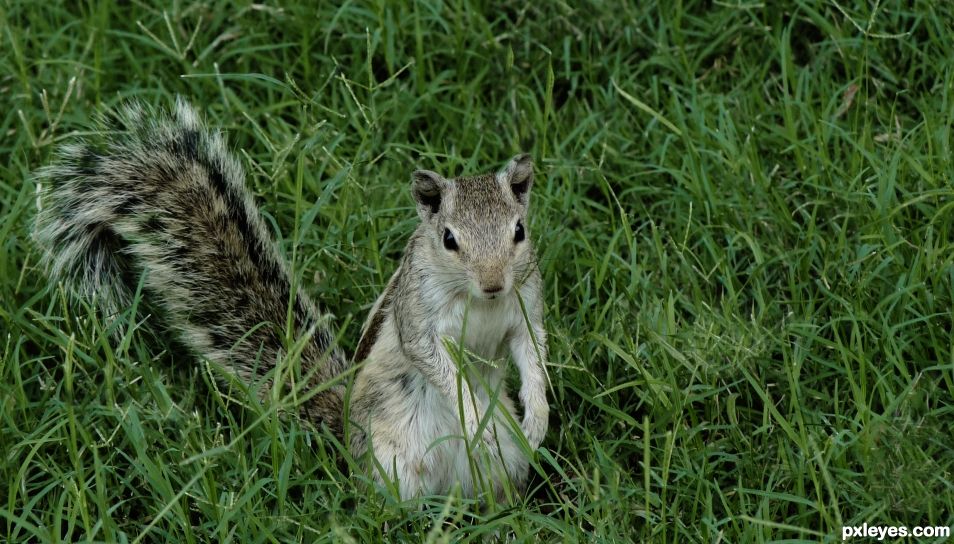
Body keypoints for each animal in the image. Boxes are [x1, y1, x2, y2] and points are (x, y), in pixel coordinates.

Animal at [33, 99, 552, 502]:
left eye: (519, 231)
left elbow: (532, 354)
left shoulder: (525, 308)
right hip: (392, 460)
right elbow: (434, 361)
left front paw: (537, 418)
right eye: (448, 239)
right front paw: (473, 415)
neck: (481, 302)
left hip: (504, 464)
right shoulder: (418, 314)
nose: (493, 283)